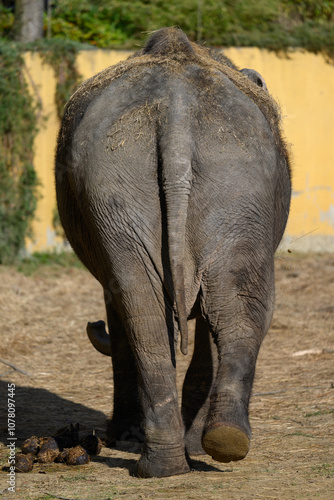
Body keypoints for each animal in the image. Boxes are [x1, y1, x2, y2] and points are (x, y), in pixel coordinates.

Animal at [54, 26, 290, 476]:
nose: (93, 325)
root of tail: (176, 109)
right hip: (195, 183)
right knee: (206, 308)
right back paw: (194, 452)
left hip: (175, 181)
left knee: (155, 311)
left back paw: (184, 455)